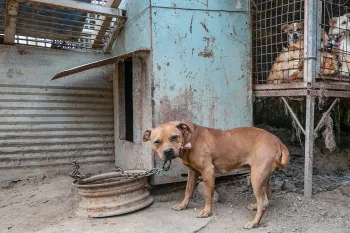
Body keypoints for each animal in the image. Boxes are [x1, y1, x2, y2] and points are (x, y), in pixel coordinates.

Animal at [142, 122, 290, 229]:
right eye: (157, 142)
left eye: (174, 137)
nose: (167, 151)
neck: (190, 139)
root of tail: (278, 141)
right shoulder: (192, 172)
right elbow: (188, 190)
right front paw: (183, 205)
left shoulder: (208, 171)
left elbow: (208, 195)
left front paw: (207, 212)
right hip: (260, 176)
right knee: (267, 195)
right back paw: (255, 206)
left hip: (256, 177)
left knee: (263, 201)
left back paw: (254, 222)